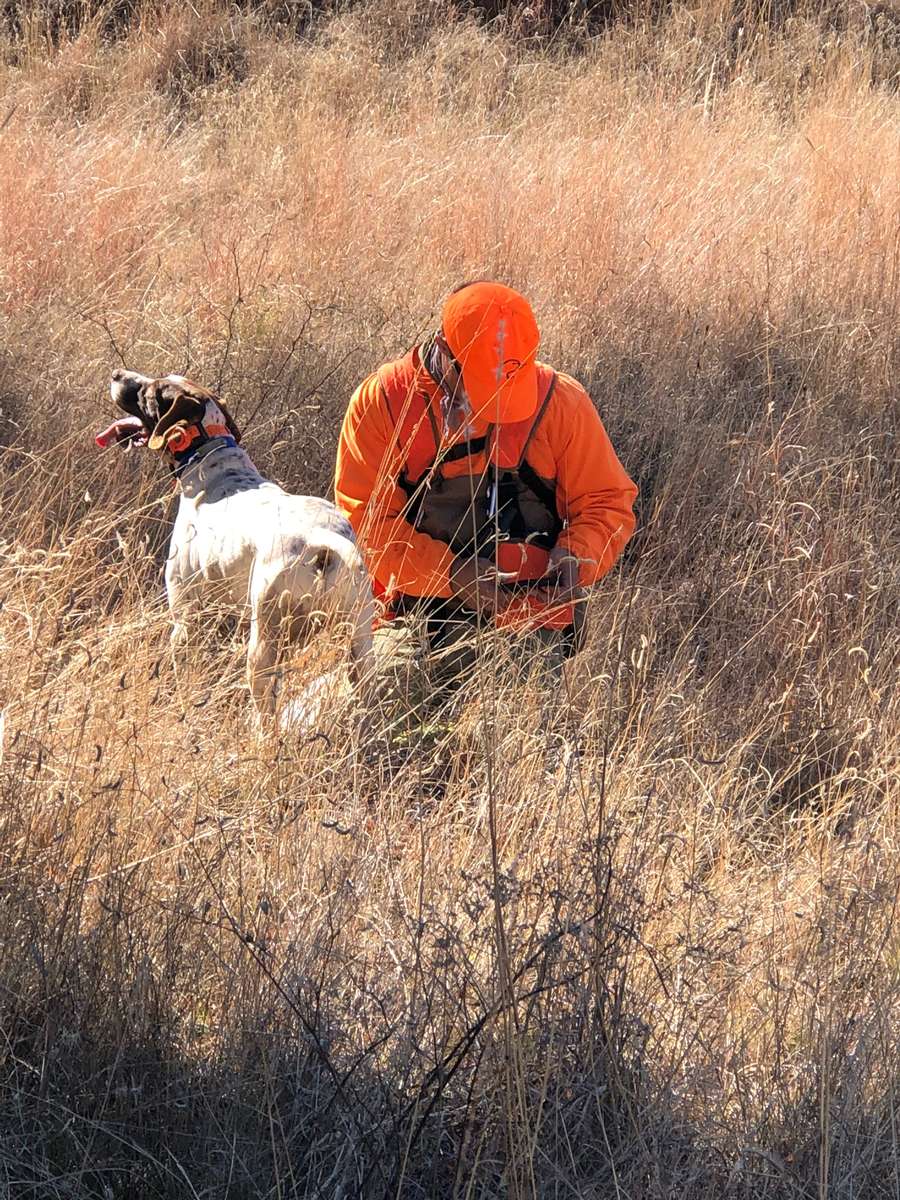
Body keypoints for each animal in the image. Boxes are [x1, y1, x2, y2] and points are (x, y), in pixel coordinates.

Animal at [99, 367, 376, 720]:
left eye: (150, 392)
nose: (117, 373)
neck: (211, 459)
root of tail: (323, 542)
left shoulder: (185, 618)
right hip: (360, 643)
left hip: (264, 645)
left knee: (265, 714)